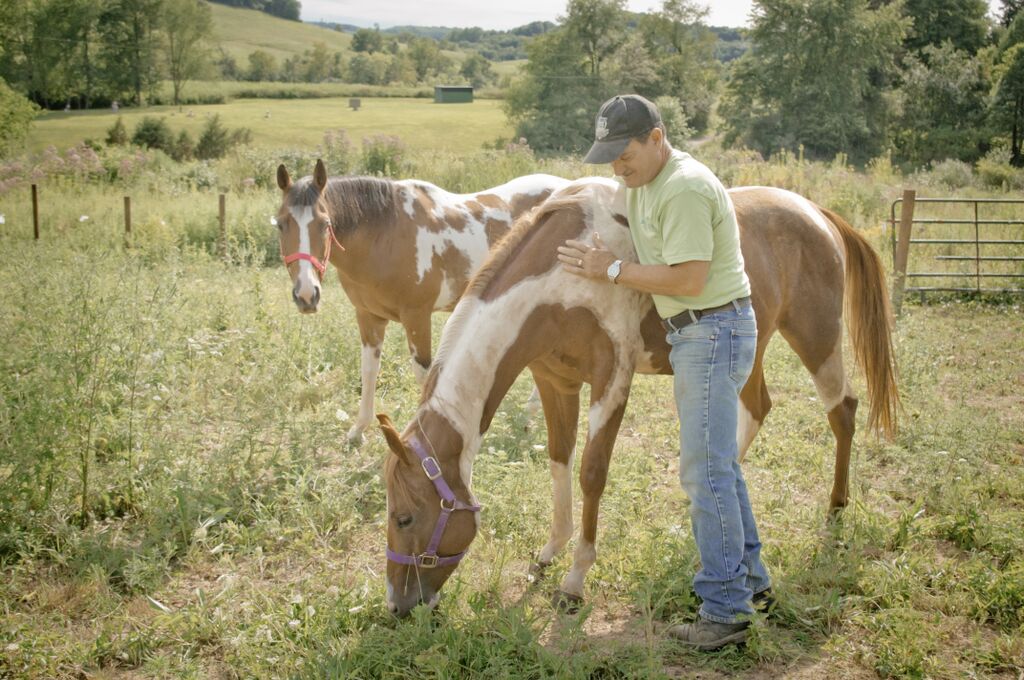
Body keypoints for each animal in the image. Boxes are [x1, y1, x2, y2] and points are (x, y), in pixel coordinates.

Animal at [274, 160, 570, 443]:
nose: (306, 295)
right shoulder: (368, 316)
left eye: (325, 224)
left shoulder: (416, 317)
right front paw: (359, 430)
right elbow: (369, 371)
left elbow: (424, 376)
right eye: (280, 223)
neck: (384, 234)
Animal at [376, 178, 899, 616]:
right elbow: (559, 460)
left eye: (404, 517)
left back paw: (835, 512)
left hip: (815, 335)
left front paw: (575, 579)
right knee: (756, 410)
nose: (399, 606)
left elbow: (591, 473)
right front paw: (550, 551)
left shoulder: (612, 381)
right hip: (753, 345)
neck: (561, 273)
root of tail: (816, 212)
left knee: (842, 411)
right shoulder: (555, 382)